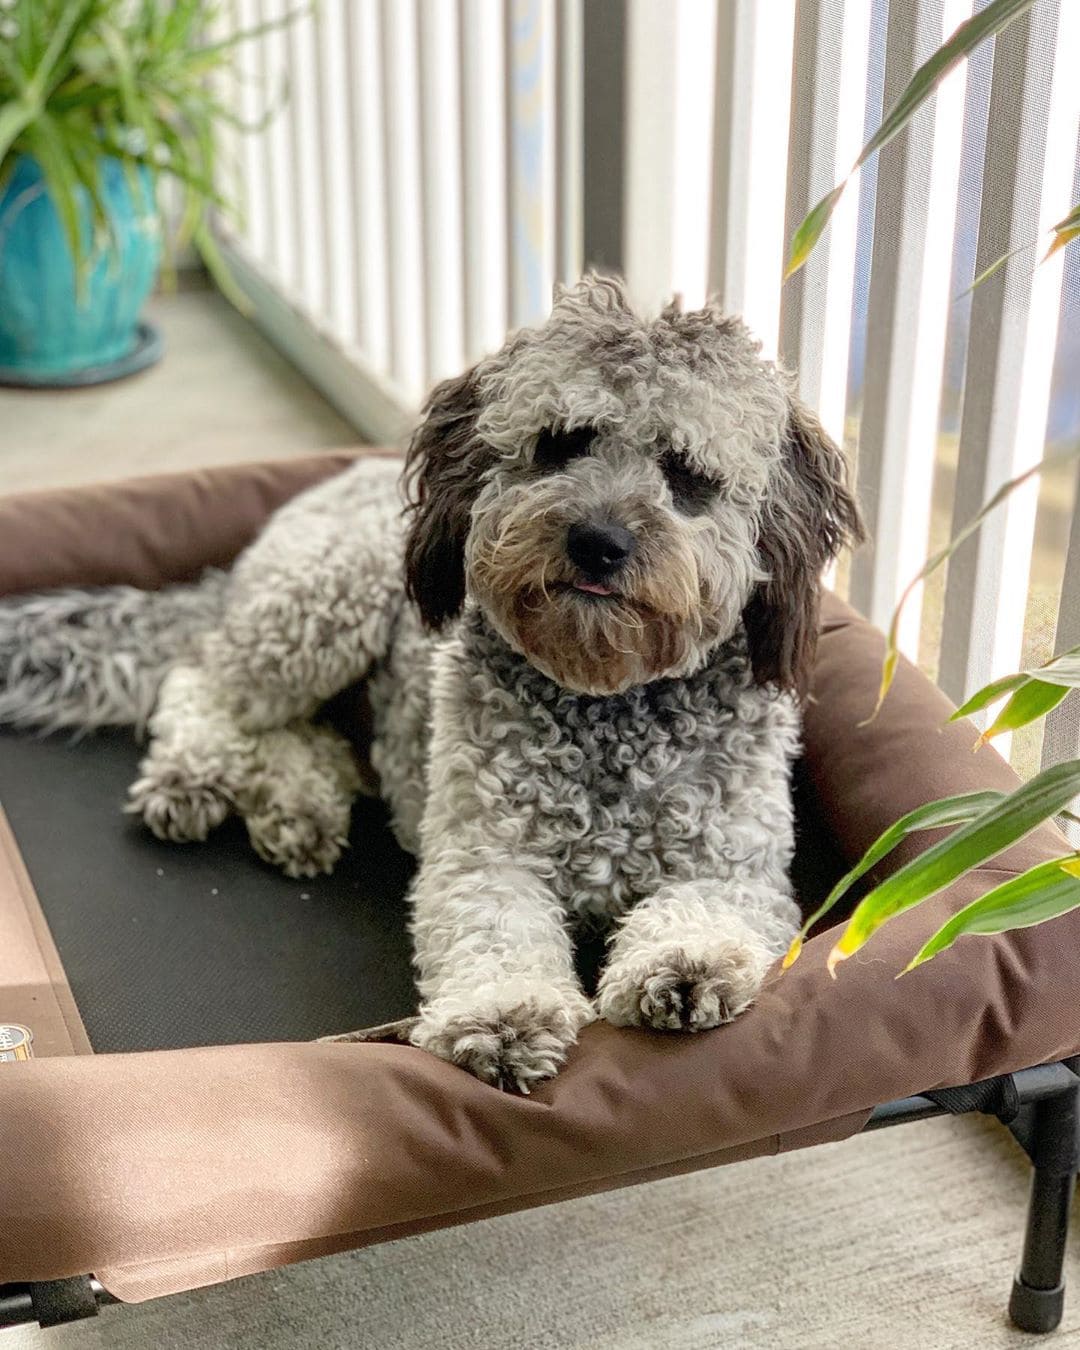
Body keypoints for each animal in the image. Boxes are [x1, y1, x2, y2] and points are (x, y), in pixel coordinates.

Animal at [0, 274, 858, 1085]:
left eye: (687, 473)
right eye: (559, 443)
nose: (598, 541)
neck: (610, 702)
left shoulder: (736, 867)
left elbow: (704, 911)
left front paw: (684, 965)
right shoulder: (484, 855)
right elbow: (495, 932)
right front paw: (504, 1013)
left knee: (306, 734)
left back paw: (297, 805)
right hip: (324, 601)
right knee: (203, 682)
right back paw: (193, 774)